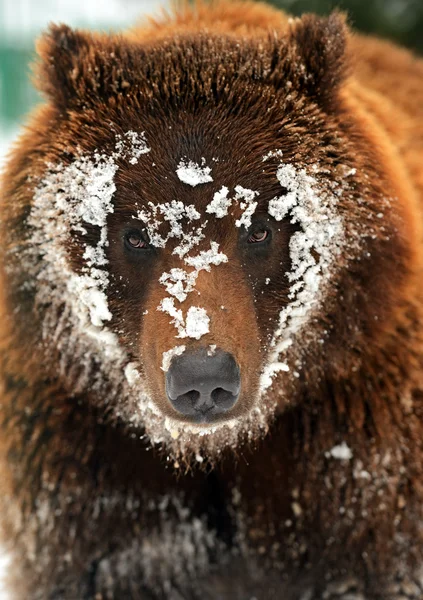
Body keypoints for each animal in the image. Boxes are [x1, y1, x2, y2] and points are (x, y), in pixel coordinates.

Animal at [0, 0, 423, 596]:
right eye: (134, 233)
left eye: (260, 226)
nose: (202, 377)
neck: (211, 450)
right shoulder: (91, 476)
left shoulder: (352, 465)